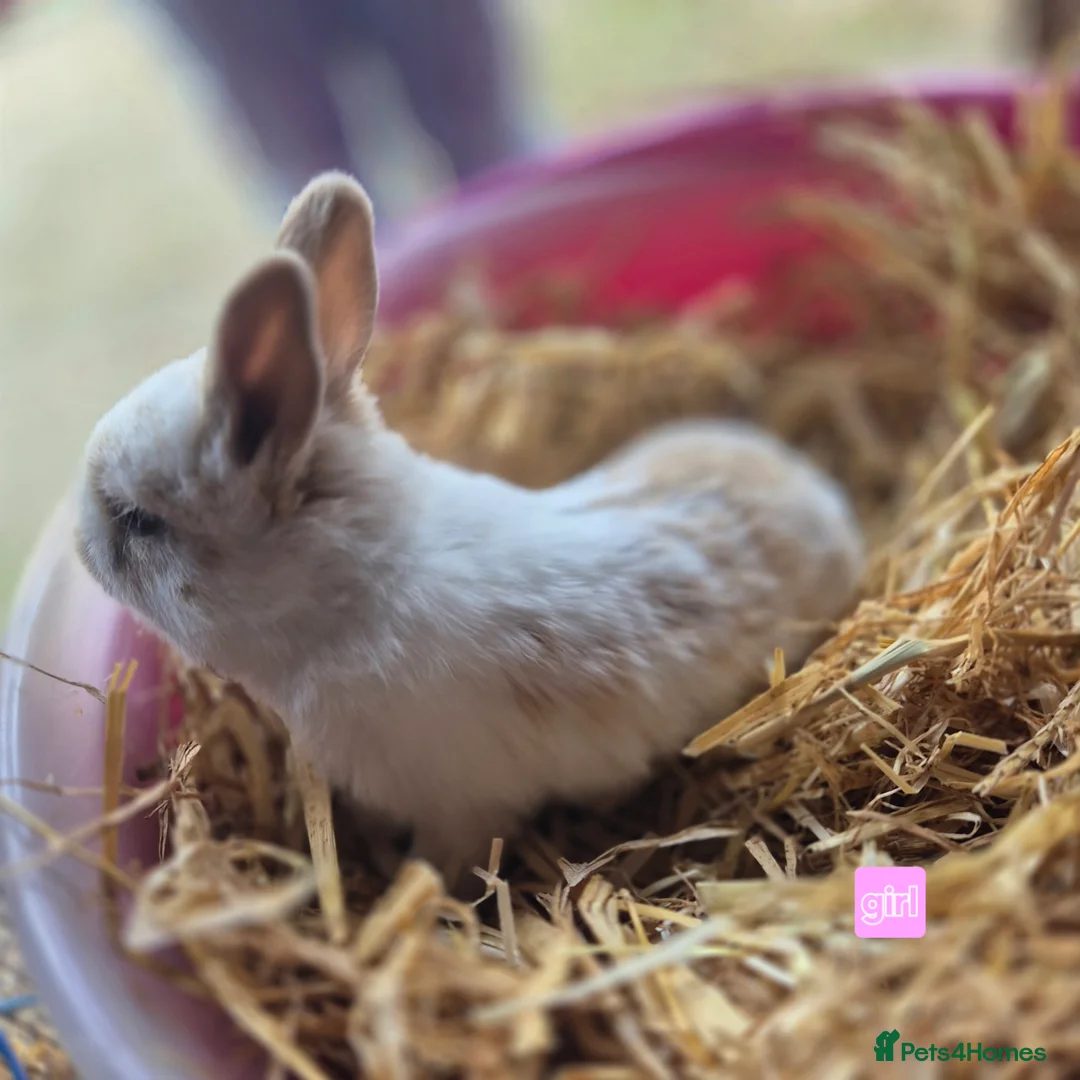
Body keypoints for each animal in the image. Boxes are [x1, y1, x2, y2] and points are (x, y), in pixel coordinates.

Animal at [75, 171, 864, 889]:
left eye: (141, 521)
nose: (81, 549)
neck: (354, 592)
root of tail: (819, 495)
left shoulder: (457, 809)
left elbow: (440, 860)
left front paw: (410, 887)